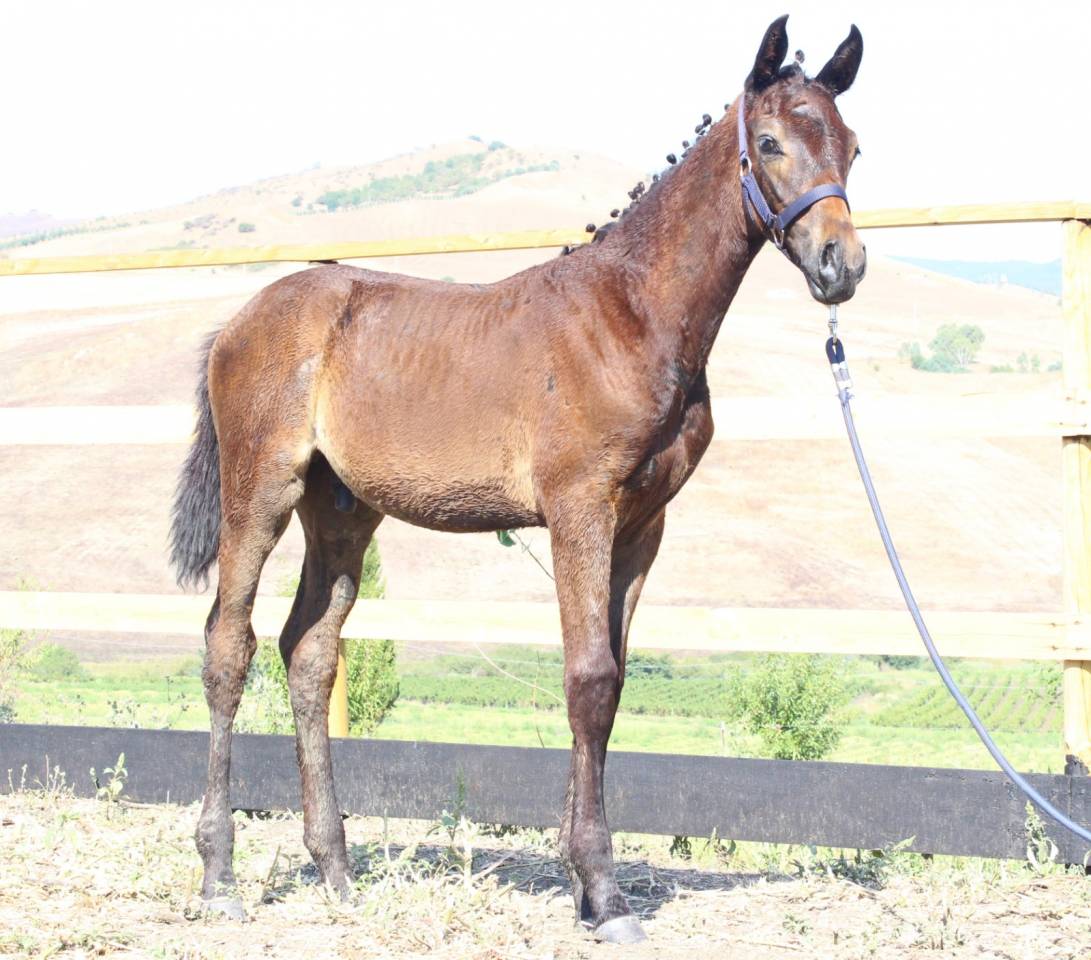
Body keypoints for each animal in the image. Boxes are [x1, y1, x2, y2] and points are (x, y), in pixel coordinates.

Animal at [169, 15, 866, 944]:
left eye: (852, 146)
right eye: (770, 142)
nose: (839, 265)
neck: (632, 315)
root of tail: (239, 323)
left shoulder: (642, 525)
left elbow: (609, 678)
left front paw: (584, 888)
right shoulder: (579, 509)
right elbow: (589, 678)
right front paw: (604, 893)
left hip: (341, 511)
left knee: (308, 652)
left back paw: (336, 871)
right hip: (260, 490)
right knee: (228, 644)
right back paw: (219, 876)